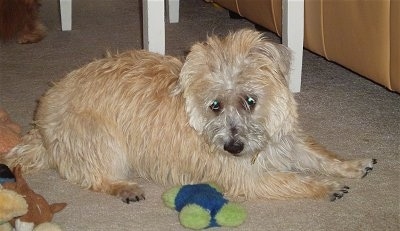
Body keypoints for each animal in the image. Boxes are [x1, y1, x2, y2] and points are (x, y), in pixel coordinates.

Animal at [2, 28, 376, 202]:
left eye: (249, 100)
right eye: (215, 105)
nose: (233, 148)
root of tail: (40, 123)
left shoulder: (286, 142)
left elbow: (320, 154)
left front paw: (352, 166)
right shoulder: (246, 177)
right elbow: (293, 179)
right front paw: (326, 187)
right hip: (102, 139)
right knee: (90, 176)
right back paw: (124, 187)